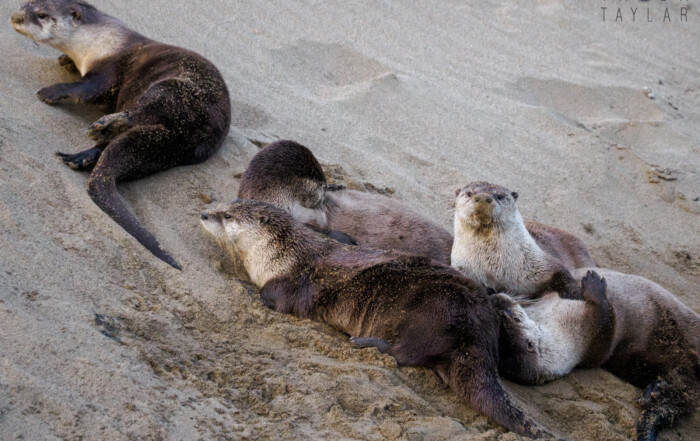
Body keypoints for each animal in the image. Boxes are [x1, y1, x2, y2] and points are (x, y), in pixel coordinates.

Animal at [201, 200, 552, 440]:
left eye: (228, 216)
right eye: (224, 205)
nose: (205, 214)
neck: (280, 256)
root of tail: (480, 329)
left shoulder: (296, 281)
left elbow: (275, 297)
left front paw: (246, 284)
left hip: (431, 313)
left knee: (407, 354)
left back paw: (363, 342)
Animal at [452, 180, 592, 298]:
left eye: (499, 196)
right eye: (469, 193)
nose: (482, 197)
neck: (494, 267)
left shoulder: (541, 263)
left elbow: (562, 273)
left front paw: (576, 291)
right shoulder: (464, 269)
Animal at [492, 268, 700, 440]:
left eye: (508, 313)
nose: (496, 299)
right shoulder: (593, 336)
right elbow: (606, 316)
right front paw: (594, 284)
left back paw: (655, 390)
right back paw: (654, 392)